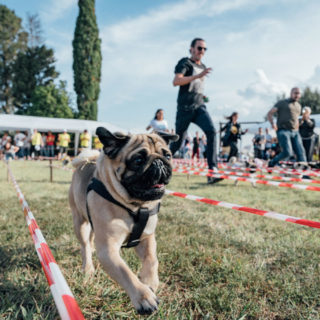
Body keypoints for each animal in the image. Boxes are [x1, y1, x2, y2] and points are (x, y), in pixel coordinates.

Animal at [68, 126, 178, 314]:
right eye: (138, 160)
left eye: (168, 155)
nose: (159, 162)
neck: (136, 206)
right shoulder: (109, 250)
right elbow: (125, 272)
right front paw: (144, 297)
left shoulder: (147, 238)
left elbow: (152, 260)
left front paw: (150, 281)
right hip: (79, 221)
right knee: (84, 245)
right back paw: (88, 268)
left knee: (91, 240)